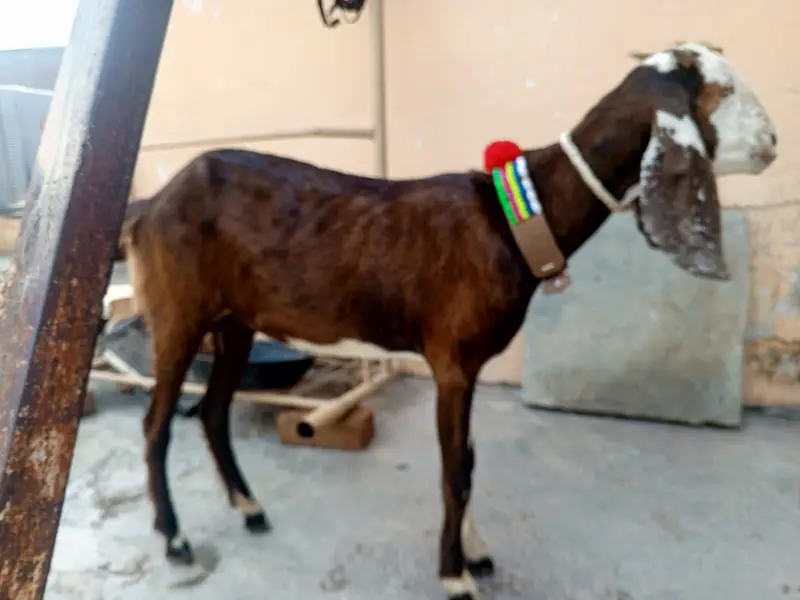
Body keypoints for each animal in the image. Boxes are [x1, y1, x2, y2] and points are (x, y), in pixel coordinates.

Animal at [116, 42, 777, 599]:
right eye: (722, 91)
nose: (772, 140)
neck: (514, 221)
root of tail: (149, 207)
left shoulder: (470, 367)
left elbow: (471, 460)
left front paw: (474, 551)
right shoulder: (453, 360)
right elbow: (455, 469)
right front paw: (456, 575)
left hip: (234, 320)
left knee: (213, 410)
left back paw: (249, 508)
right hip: (177, 313)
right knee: (156, 423)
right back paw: (175, 538)